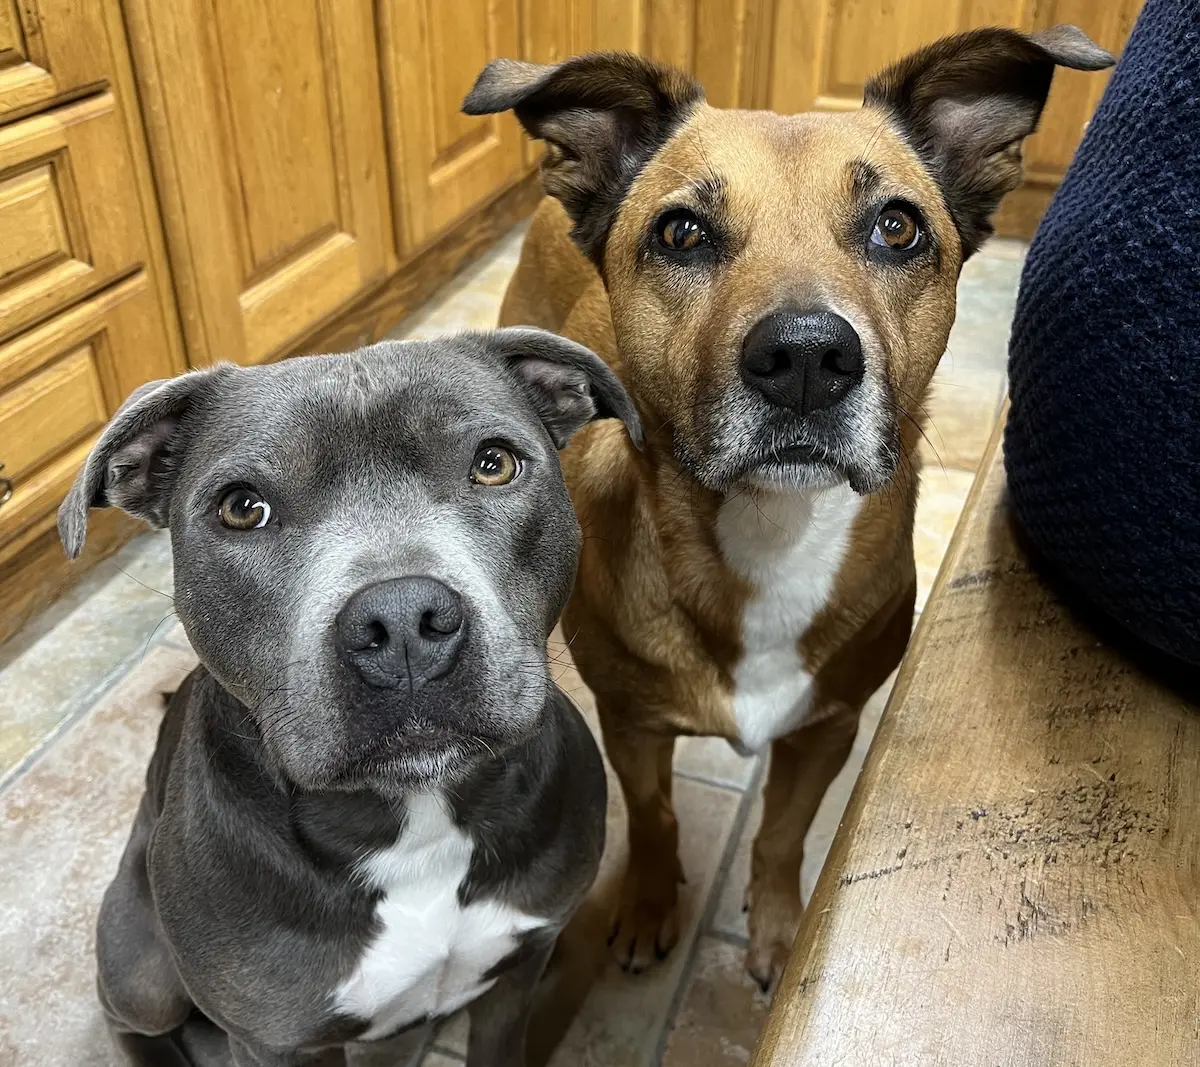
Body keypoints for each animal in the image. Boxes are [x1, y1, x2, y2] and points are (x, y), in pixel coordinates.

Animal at [58, 328, 638, 1065]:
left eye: (494, 464)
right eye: (241, 507)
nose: (402, 622)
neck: (416, 826)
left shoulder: (522, 966)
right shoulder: (272, 1041)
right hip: (141, 970)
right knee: (133, 1018)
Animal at [463, 27, 1108, 988]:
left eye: (897, 226)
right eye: (682, 232)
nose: (806, 358)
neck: (768, 532)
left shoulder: (825, 732)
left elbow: (780, 833)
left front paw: (774, 929)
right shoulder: (633, 726)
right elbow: (653, 818)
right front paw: (648, 904)